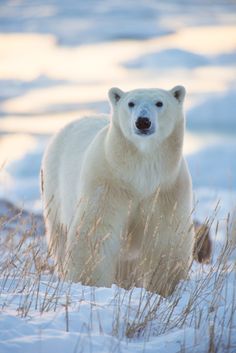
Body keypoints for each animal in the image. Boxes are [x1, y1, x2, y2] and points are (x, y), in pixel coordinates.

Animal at [41, 86, 195, 296]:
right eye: (131, 103)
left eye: (159, 103)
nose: (143, 121)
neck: (140, 172)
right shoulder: (108, 183)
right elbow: (97, 232)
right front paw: (90, 283)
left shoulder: (167, 189)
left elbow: (166, 238)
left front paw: (165, 288)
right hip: (54, 188)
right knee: (60, 237)